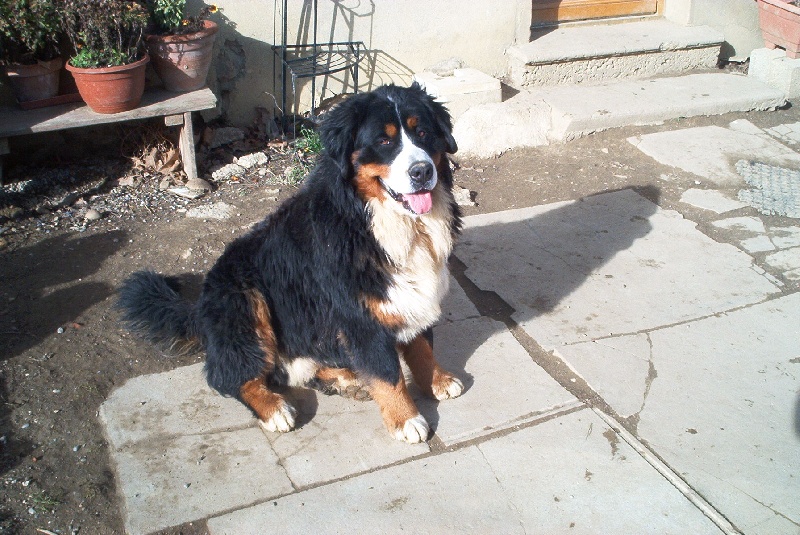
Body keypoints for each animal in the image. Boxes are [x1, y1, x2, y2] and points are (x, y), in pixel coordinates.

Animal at [122, 84, 466, 444]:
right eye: (384, 141)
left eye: (423, 133)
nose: (422, 171)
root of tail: (199, 307)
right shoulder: (360, 316)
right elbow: (387, 373)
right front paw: (406, 419)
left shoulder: (413, 294)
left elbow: (422, 346)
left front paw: (438, 380)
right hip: (245, 301)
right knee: (231, 376)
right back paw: (275, 409)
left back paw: (345, 379)